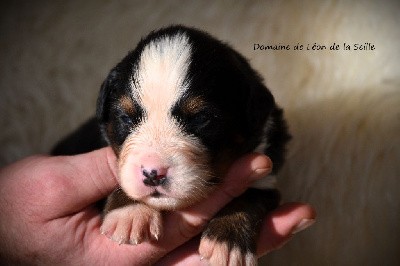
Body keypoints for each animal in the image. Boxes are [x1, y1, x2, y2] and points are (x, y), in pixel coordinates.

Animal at [53, 25, 290, 266]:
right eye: (126, 118)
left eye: (201, 118)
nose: (152, 173)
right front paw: (129, 212)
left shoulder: (266, 172)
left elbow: (250, 195)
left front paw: (227, 241)